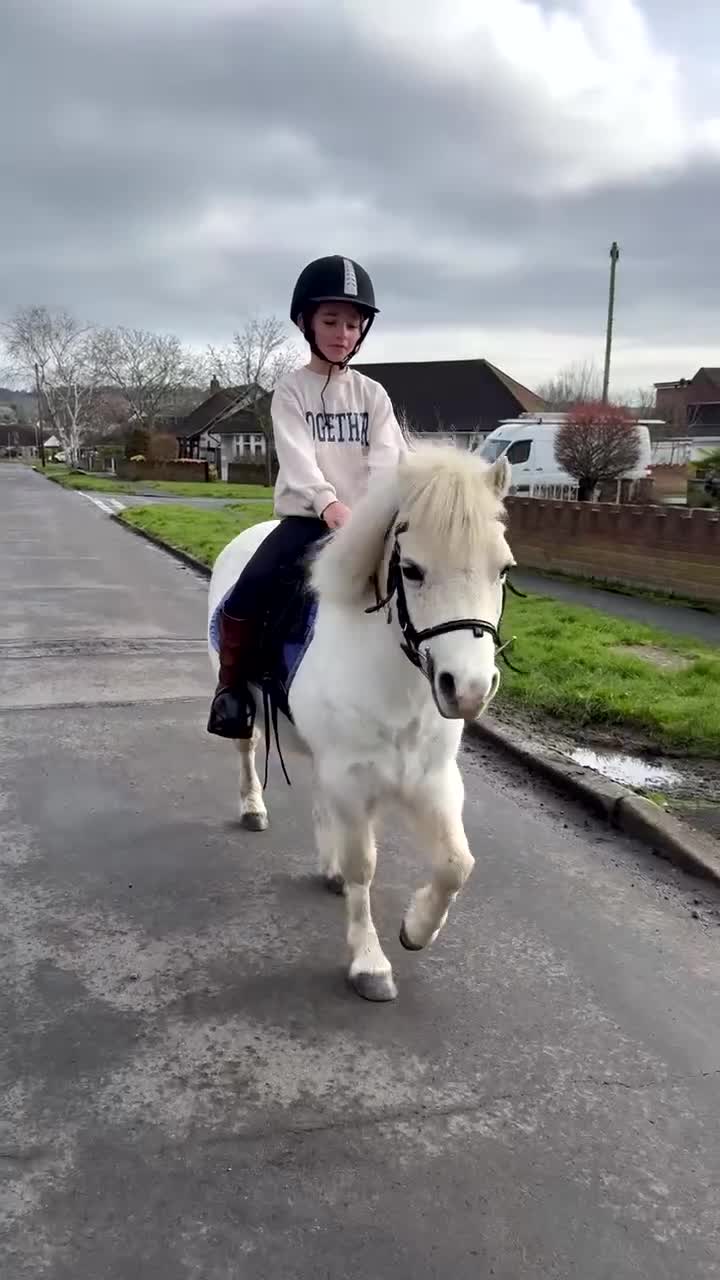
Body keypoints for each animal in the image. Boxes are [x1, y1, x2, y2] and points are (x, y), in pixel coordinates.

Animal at [208, 444, 515, 1002]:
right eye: (410, 569)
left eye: (502, 569)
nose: (468, 690)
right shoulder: (351, 778)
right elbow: (364, 866)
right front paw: (370, 963)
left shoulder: (433, 780)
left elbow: (457, 864)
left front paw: (417, 929)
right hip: (247, 711)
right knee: (246, 751)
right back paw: (253, 809)